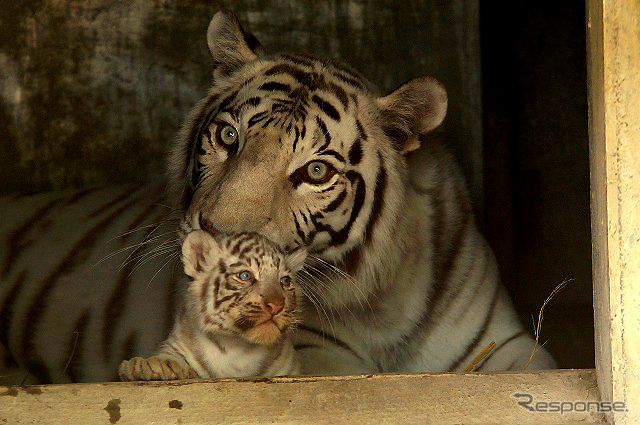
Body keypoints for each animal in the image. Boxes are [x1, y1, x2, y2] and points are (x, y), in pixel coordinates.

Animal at [0, 10, 552, 384]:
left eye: (315, 171)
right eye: (228, 137)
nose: (218, 238)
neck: (383, 302)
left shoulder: (511, 348)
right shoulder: (316, 357)